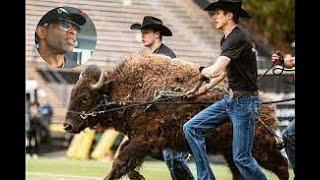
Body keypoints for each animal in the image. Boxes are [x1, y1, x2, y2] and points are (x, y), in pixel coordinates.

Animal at [63, 53, 288, 180]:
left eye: (84, 97)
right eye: (72, 93)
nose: (67, 126)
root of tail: (266, 106)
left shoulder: (144, 139)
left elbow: (120, 162)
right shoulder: (138, 140)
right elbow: (124, 160)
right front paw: (139, 177)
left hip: (258, 149)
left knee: (281, 166)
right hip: (231, 151)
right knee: (241, 172)